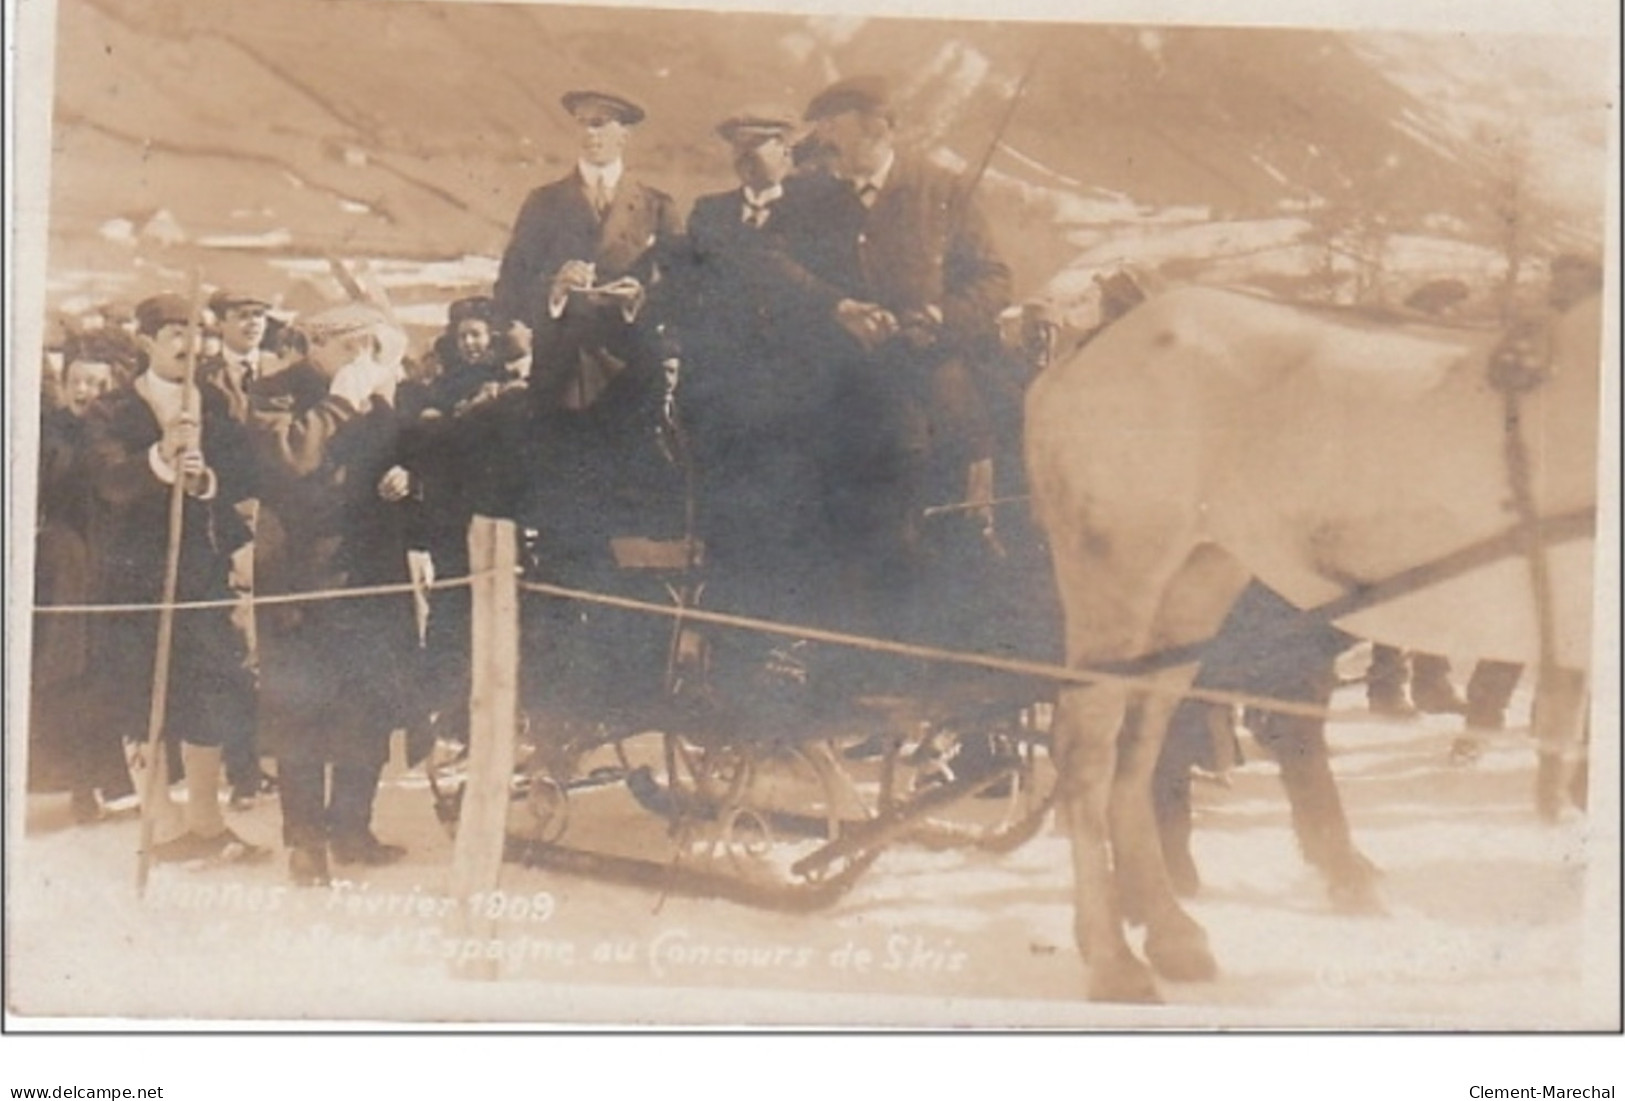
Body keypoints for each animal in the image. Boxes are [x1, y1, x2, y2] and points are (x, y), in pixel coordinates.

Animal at [1027, 287, 1599, 1006]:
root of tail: (1091, 346)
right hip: (1118, 578)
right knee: (1087, 758)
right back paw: (1113, 960)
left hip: (1194, 581)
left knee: (1137, 755)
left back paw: (1170, 934)